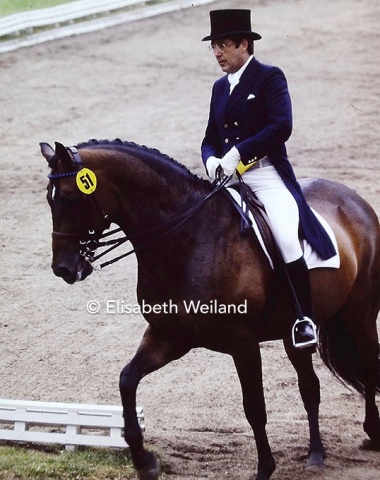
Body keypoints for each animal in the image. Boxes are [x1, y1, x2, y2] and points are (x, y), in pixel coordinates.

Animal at [40, 139, 380, 480]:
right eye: (48, 199)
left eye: (69, 198)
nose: (63, 268)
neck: (188, 238)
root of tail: (354, 199)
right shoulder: (169, 337)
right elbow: (127, 380)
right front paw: (145, 461)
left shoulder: (243, 343)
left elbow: (254, 407)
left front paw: (264, 468)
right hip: (292, 333)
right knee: (310, 386)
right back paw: (316, 453)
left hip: (360, 314)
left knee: (367, 365)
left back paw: (372, 434)